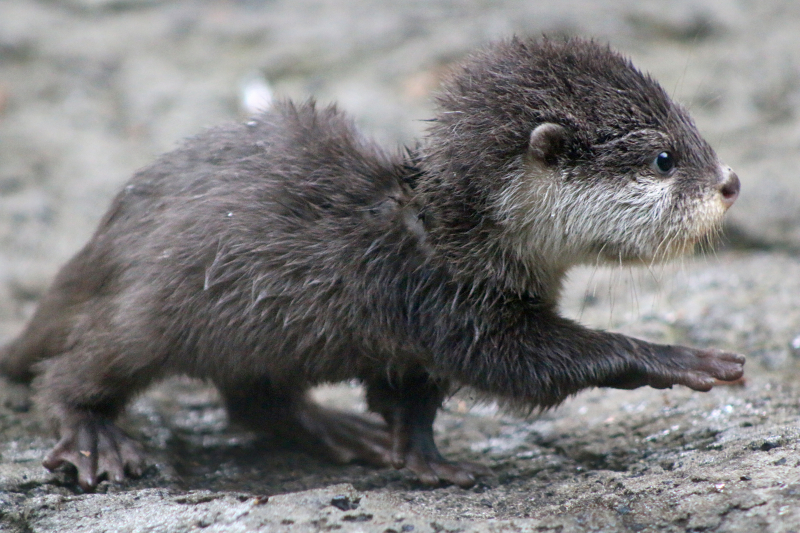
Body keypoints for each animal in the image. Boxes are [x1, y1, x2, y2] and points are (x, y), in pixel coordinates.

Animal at [0, 37, 743, 491]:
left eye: (695, 130)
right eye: (665, 158)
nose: (731, 181)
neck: (447, 241)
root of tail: (103, 239)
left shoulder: (423, 342)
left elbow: (411, 401)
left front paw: (421, 458)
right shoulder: (450, 308)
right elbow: (530, 367)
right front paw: (676, 356)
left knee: (252, 401)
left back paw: (332, 428)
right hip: (146, 312)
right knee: (75, 368)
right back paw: (94, 437)